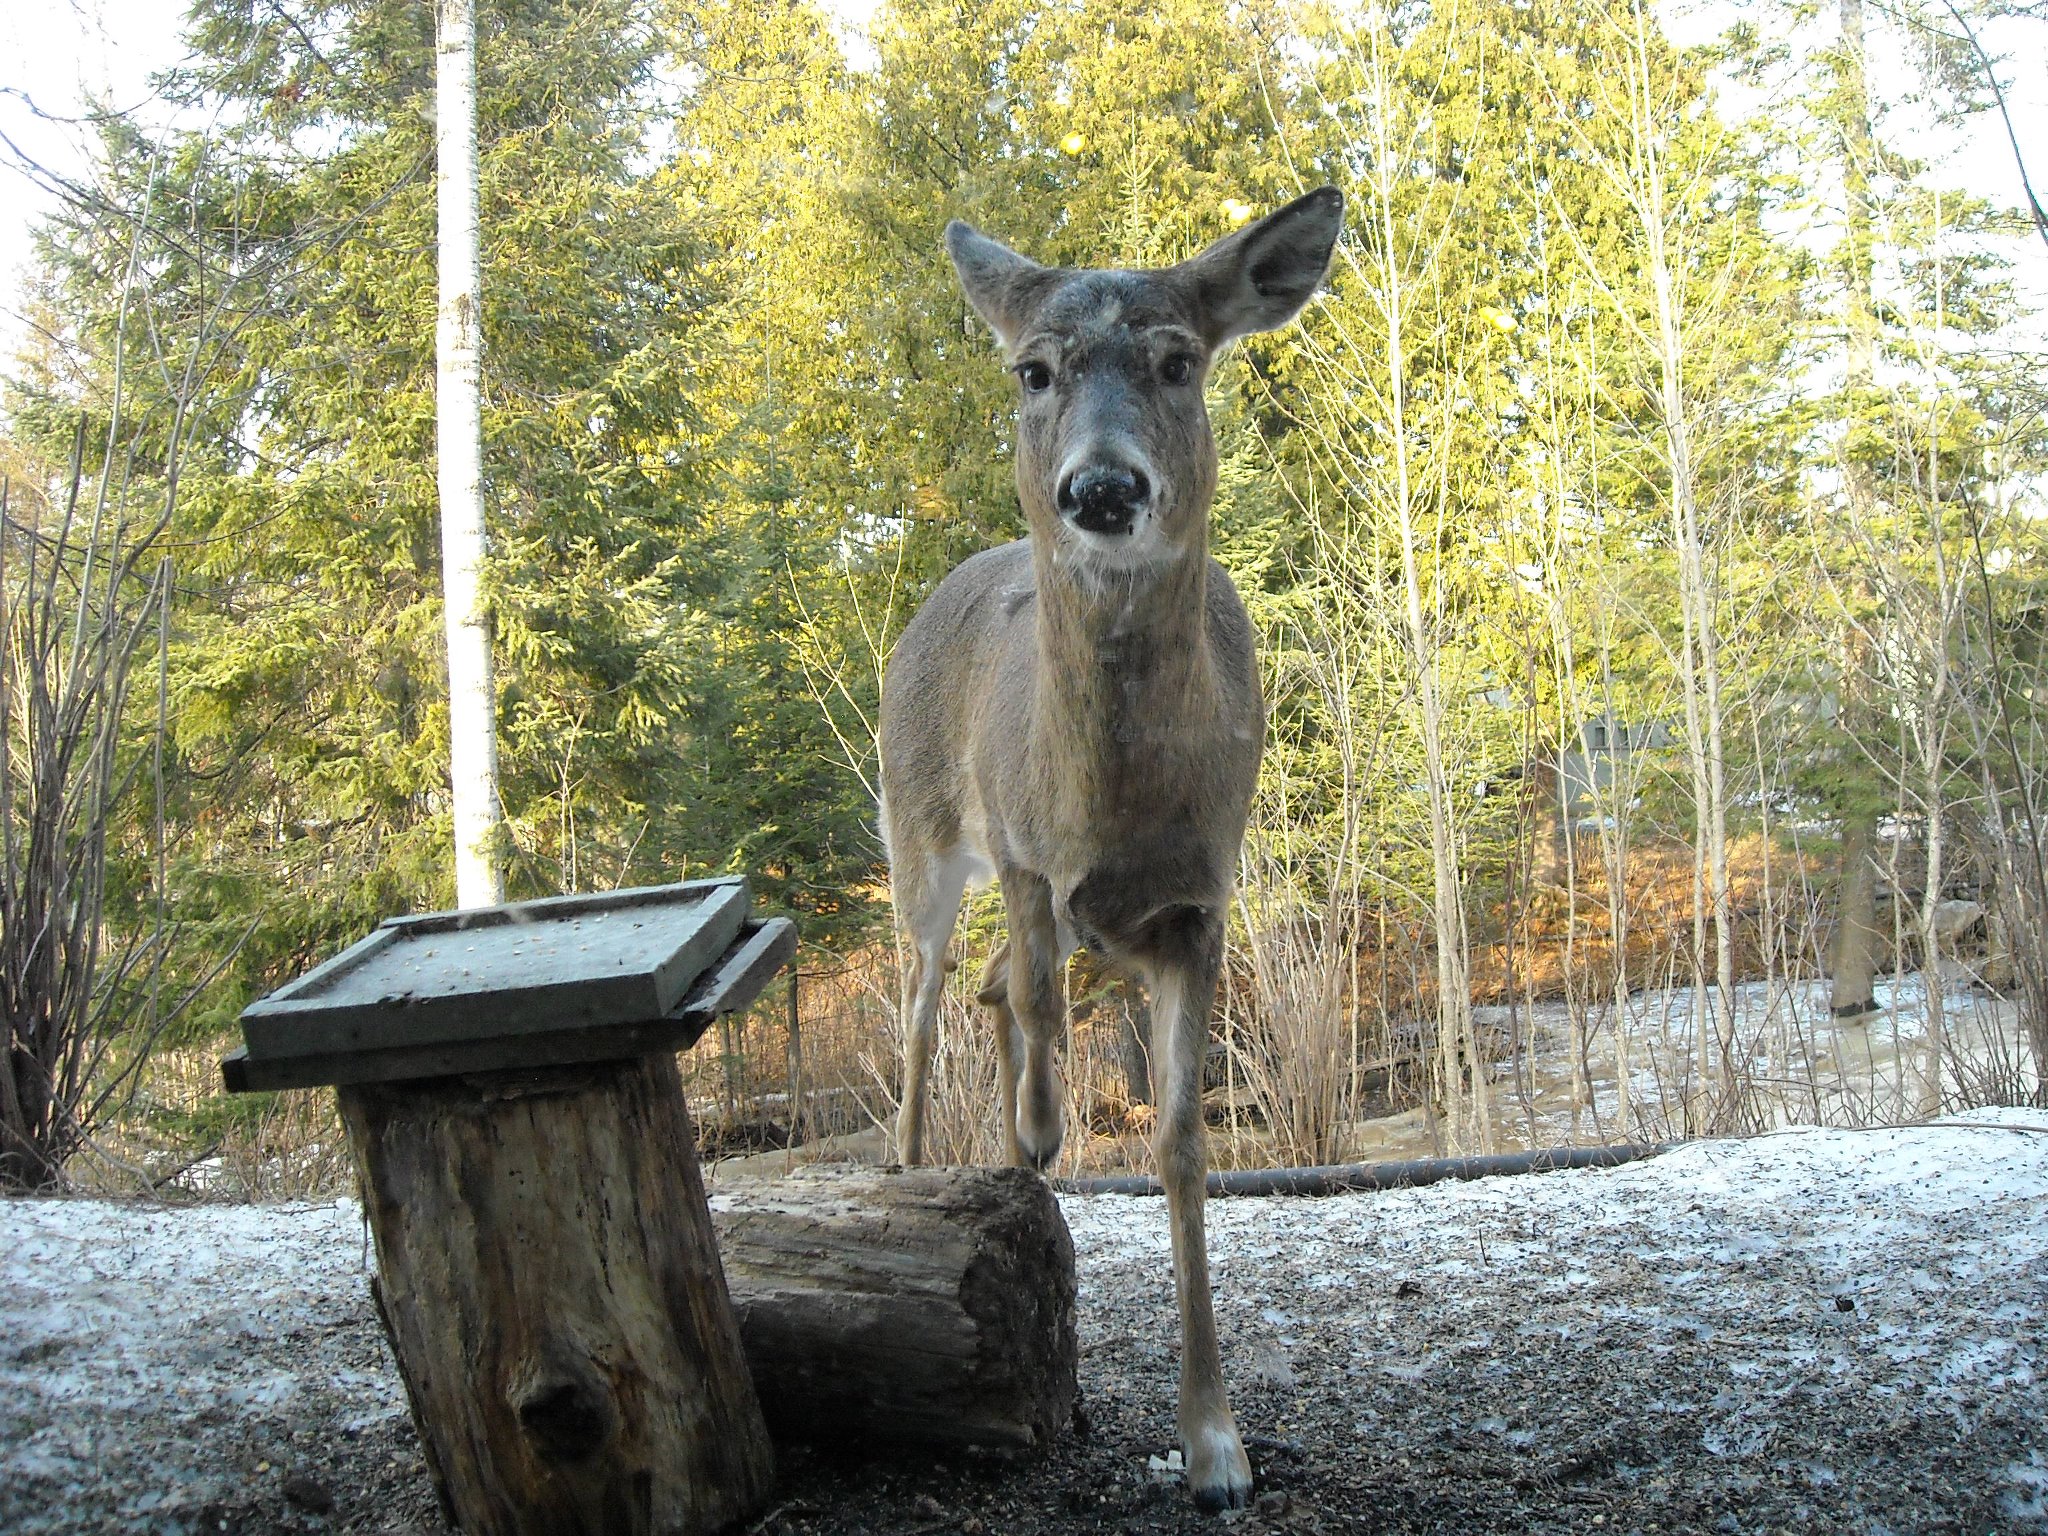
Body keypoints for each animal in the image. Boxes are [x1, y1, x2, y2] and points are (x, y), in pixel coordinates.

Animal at [877, 187, 1344, 1510]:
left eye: (1180, 361)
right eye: (1032, 369)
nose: (1098, 488)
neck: (1112, 805)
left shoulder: (1194, 908)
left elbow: (1183, 1146)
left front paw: (1215, 1448)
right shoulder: (1025, 850)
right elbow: (1037, 1001)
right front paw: (1035, 1128)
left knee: (983, 987)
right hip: (917, 829)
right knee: (926, 1002)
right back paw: (917, 1170)